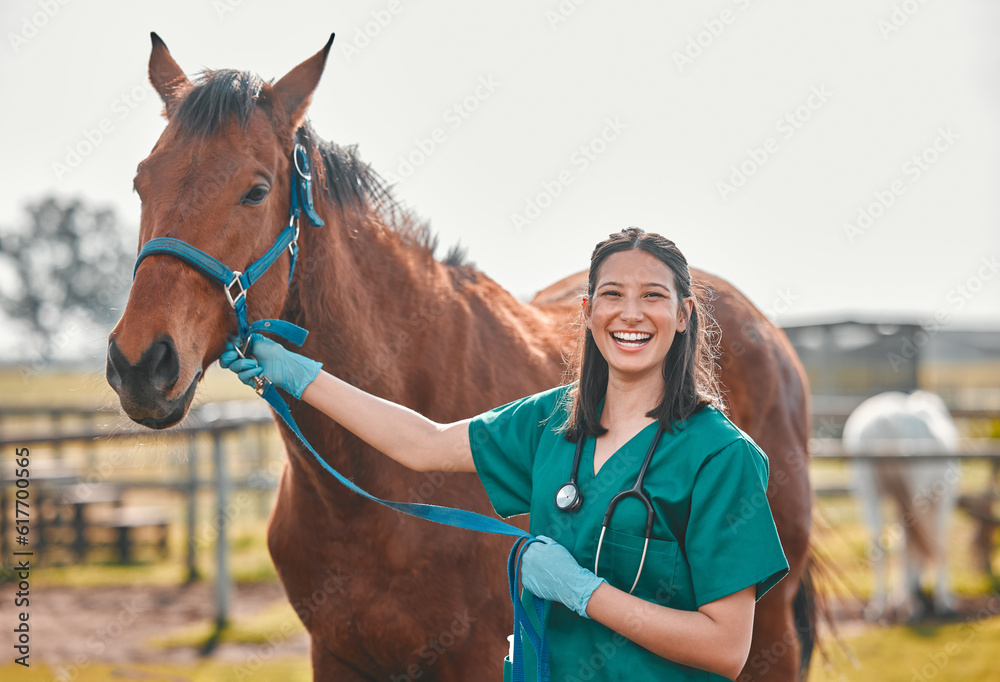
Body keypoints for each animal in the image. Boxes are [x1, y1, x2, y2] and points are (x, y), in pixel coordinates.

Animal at [107, 34, 812, 676]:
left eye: (255, 191)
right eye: (141, 182)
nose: (141, 364)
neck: (365, 501)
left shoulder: (475, 656)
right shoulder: (336, 655)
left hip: (769, 632)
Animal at [844, 390, 960, 620]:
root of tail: (887, 419)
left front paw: (897, 598)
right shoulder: (943, 501)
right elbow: (938, 545)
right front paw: (943, 601)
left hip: (869, 492)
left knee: (879, 545)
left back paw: (879, 606)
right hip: (916, 495)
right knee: (912, 545)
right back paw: (912, 607)